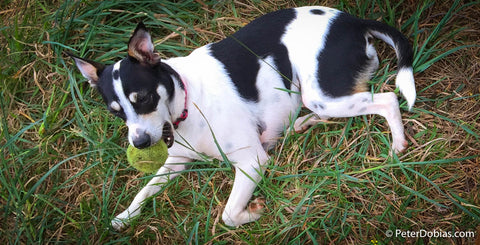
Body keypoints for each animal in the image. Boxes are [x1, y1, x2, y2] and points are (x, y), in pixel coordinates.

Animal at [69, 6, 414, 232]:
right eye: (115, 111)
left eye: (143, 98)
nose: (140, 143)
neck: (188, 100)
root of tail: (352, 20)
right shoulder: (176, 162)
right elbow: (144, 190)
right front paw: (125, 216)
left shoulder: (252, 162)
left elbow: (228, 215)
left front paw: (253, 212)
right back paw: (301, 125)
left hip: (321, 94)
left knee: (387, 99)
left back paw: (397, 143)